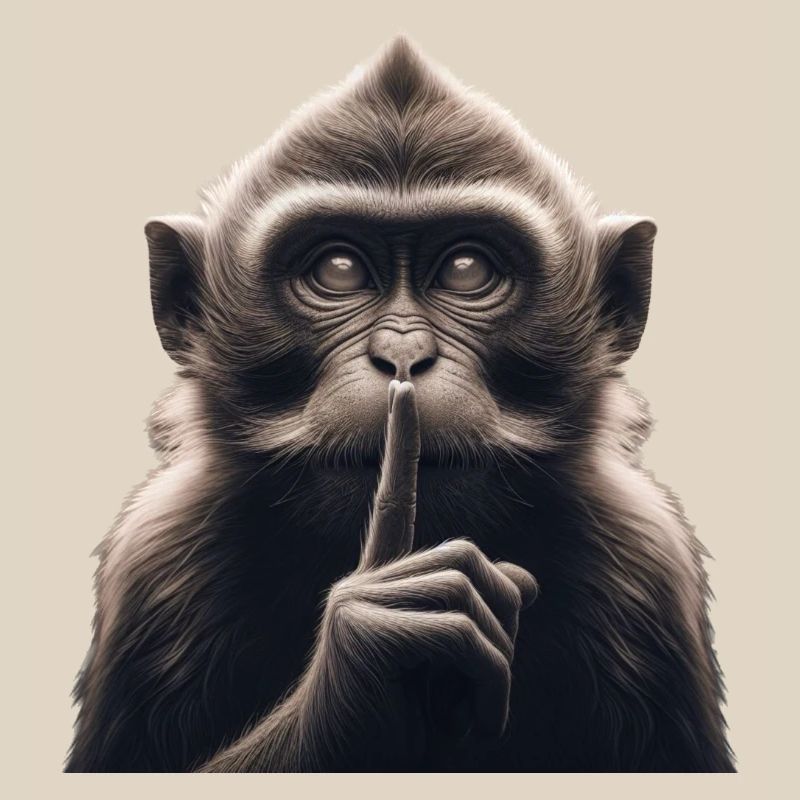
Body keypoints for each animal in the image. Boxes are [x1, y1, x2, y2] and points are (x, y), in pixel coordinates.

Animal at [66, 36, 735, 772]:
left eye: (468, 269)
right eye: (338, 270)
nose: (403, 354)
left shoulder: (648, 562)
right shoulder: (155, 559)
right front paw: (372, 650)